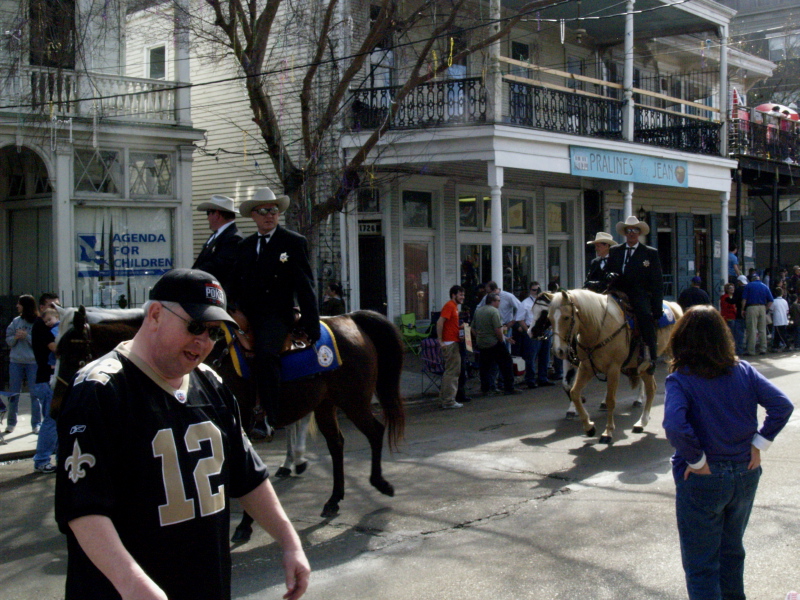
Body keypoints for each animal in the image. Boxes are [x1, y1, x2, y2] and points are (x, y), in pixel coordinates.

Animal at [54, 308, 406, 516]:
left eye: (73, 353)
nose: (57, 408)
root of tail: (350, 318)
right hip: (326, 404)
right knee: (336, 444)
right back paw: (332, 497)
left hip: (353, 400)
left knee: (374, 432)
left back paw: (380, 483)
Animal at [548, 288, 680, 442]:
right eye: (549, 319)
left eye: (566, 317)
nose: (558, 351)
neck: (599, 327)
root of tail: (673, 306)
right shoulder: (586, 367)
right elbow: (574, 393)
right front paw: (589, 427)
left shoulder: (613, 369)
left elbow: (610, 400)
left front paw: (608, 432)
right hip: (643, 368)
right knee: (651, 388)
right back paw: (641, 422)